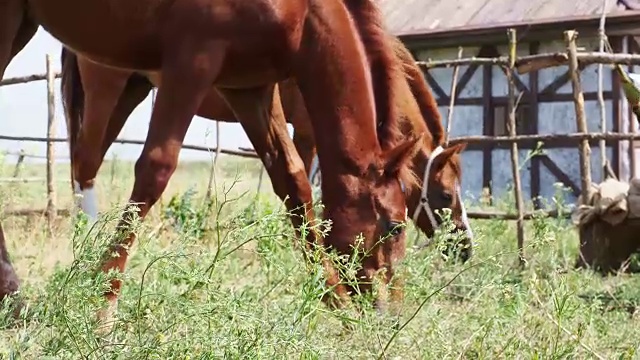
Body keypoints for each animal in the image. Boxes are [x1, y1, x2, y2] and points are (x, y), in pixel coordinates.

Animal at [1, 0, 424, 320]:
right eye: (394, 228)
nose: (390, 311)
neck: (305, 10)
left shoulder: (249, 88)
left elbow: (294, 183)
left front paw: (335, 302)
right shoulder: (194, 60)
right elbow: (156, 169)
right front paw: (103, 304)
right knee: (86, 164)